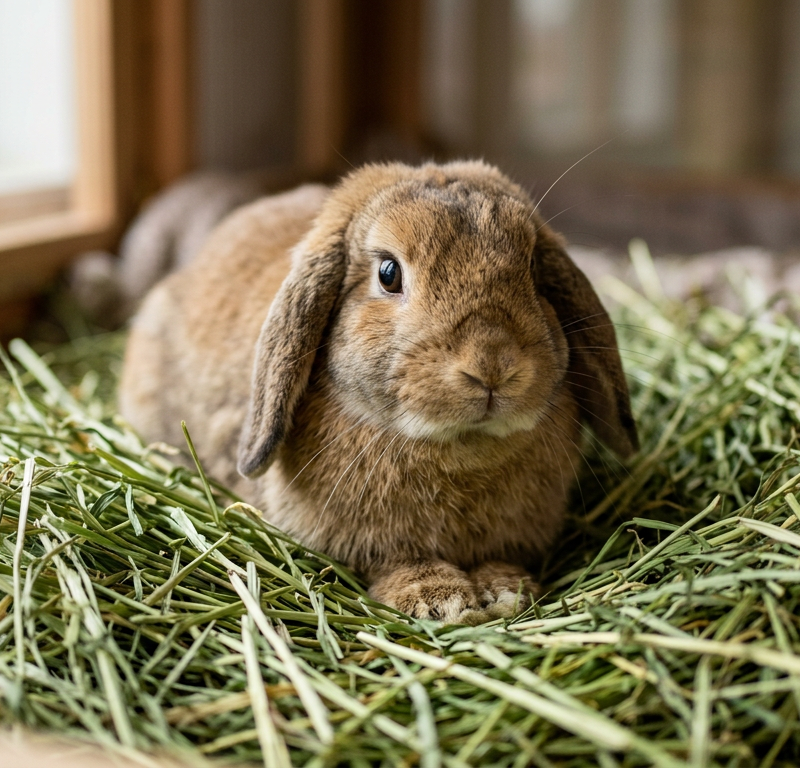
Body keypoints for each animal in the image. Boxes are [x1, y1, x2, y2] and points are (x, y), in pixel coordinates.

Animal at [120, 160, 638, 624]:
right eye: (389, 273)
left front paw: (507, 590)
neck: (460, 448)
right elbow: (398, 564)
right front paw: (440, 600)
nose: (491, 366)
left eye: (532, 269)